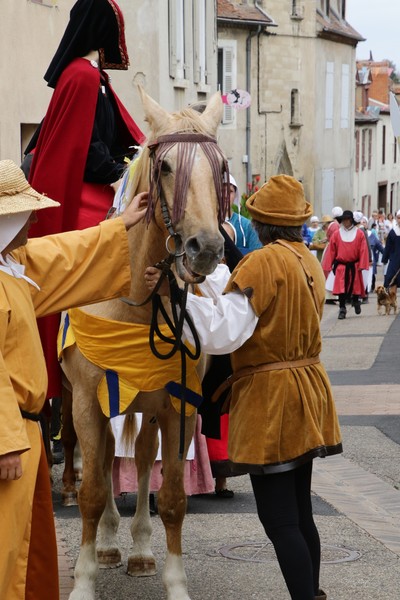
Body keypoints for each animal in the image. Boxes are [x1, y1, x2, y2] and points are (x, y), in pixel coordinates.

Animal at [59, 88, 228, 600]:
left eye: (221, 168)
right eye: (166, 165)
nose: (205, 249)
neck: (136, 298)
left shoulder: (178, 408)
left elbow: (171, 498)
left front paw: (174, 581)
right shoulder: (88, 404)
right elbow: (94, 492)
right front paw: (84, 579)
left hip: (148, 408)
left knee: (141, 456)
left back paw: (137, 549)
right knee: (100, 465)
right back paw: (108, 542)